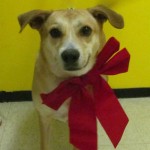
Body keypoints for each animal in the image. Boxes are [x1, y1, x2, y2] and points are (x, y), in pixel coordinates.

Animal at [18, 5, 123, 149]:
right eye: (54, 32)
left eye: (86, 30)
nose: (70, 55)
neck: (70, 81)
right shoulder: (44, 118)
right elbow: (45, 143)